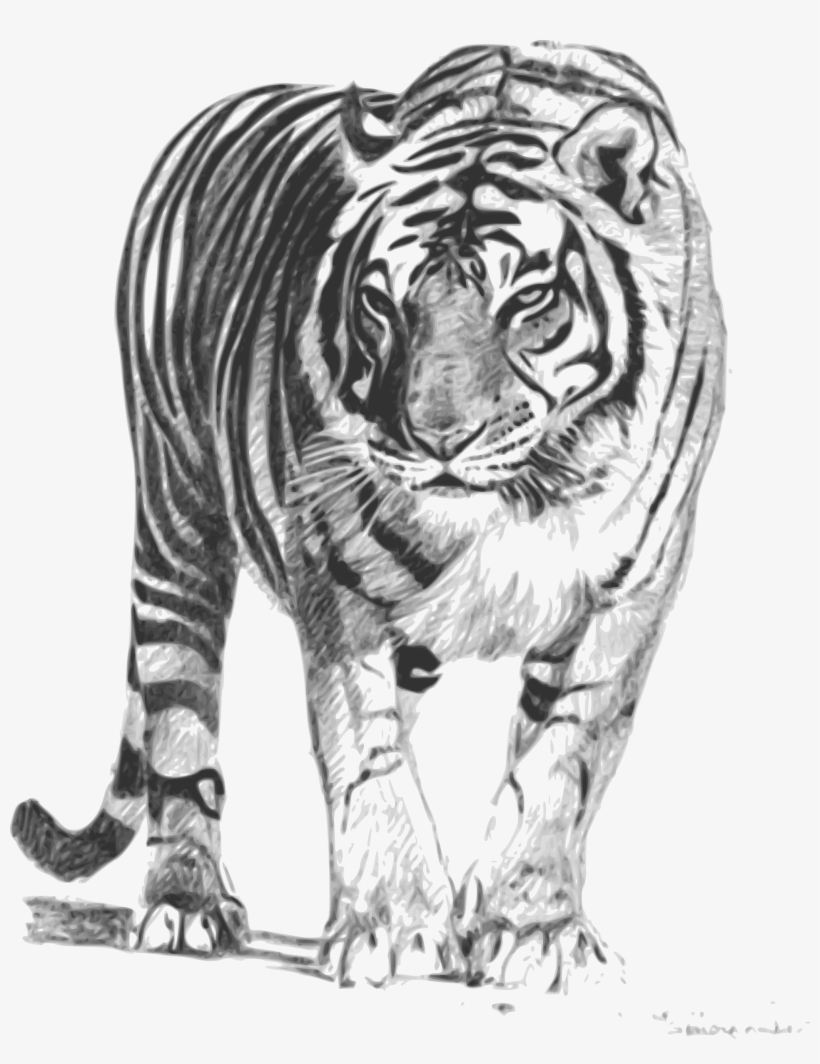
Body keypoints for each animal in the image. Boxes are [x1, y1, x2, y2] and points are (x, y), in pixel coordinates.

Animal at [12, 41, 724, 989]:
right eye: (384, 303)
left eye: (527, 301)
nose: (437, 438)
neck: (525, 495)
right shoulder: (336, 577)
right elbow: (365, 751)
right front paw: (392, 926)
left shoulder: (627, 592)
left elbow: (561, 762)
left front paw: (530, 930)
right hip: (176, 515)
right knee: (179, 726)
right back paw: (187, 904)